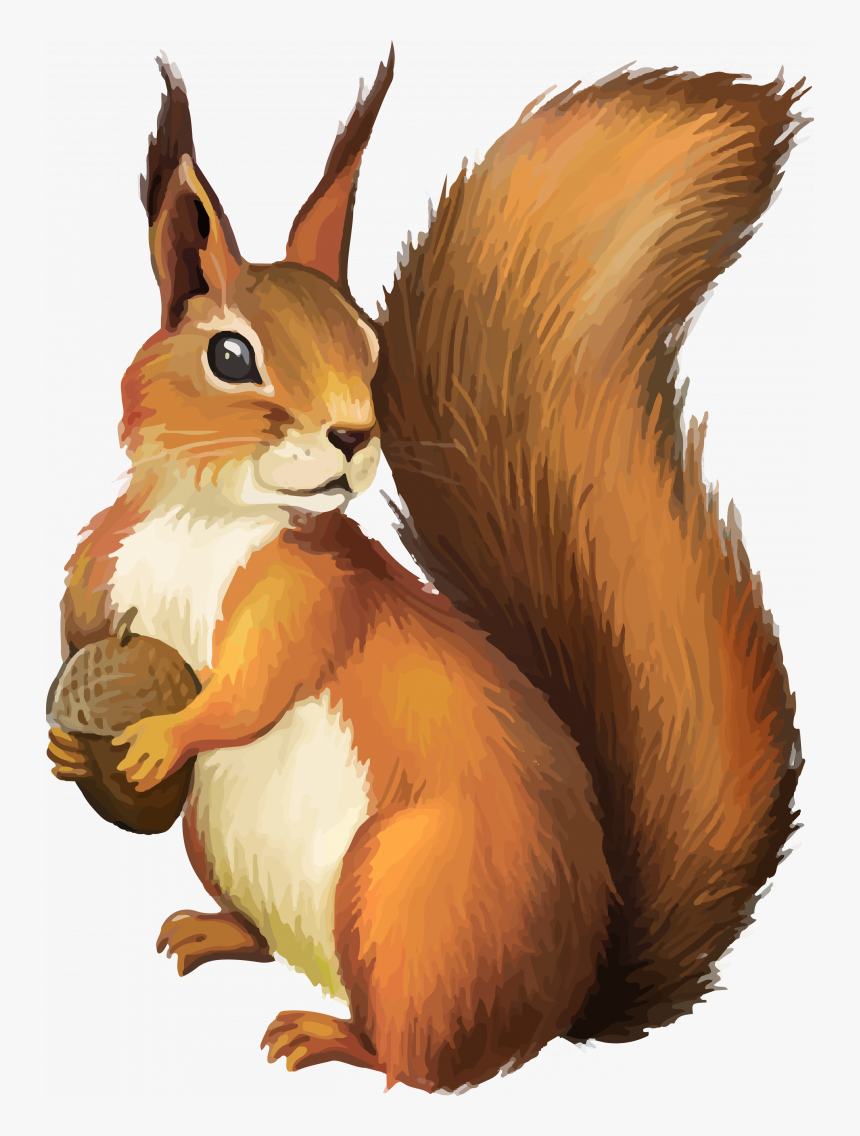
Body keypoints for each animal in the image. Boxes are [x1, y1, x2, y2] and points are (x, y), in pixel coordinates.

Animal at [47, 49, 804, 1091]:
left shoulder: (310, 599)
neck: (205, 515)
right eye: (230, 354)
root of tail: (565, 1001)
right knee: (270, 943)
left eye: (369, 345)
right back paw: (216, 932)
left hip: (407, 901)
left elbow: (251, 689)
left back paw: (329, 1037)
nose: (355, 434)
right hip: (232, 849)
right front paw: (67, 748)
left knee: (417, 1061)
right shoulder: (98, 569)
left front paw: (165, 735)